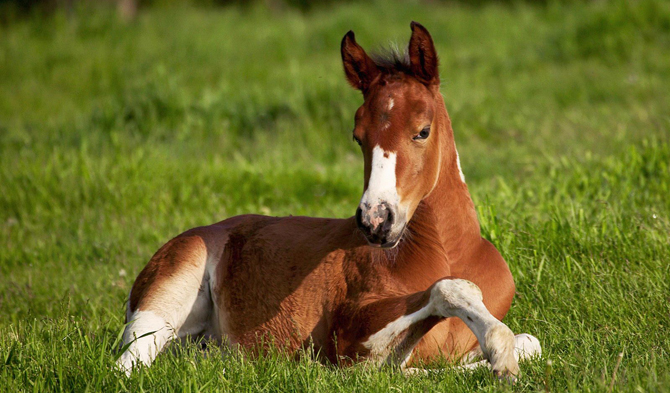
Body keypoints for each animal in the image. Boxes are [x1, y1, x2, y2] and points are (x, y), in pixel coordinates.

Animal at [118, 20, 544, 376]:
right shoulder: (349, 337)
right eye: (358, 137)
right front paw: (499, 355)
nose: (376, 220)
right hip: (164, 297)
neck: (448, 252)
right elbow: (446, 295)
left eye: (422, 130)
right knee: (128, 365)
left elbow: (531, 342)